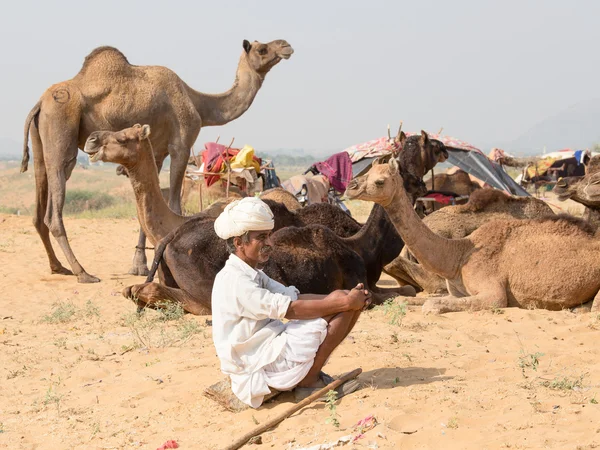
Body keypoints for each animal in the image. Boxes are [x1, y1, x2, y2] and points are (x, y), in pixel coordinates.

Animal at [22, 40, 294, 284]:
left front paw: (139, 264)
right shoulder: (181, 144)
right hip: (61, 128)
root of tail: (40, 103)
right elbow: (174, 201)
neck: (198, 103)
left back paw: (58, 267)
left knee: (39, 203)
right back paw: (82, 272)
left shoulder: (158, 151)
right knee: (54, 205)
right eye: (262, 49)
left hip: (40, 142)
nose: (285, 45)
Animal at [344, 157, 600, 312]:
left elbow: (432, 306)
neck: (458, 255)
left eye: (379, 181)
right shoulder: (456, 292)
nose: (350, 186)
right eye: (366, 173)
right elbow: (410, 299)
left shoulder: (493, 293)